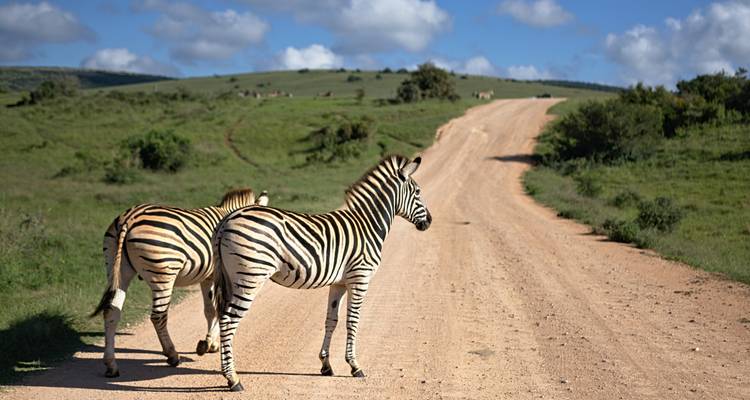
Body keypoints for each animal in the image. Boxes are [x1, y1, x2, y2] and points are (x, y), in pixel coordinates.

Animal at [90, 188, 269, 378]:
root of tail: (129, 217)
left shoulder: (208, 277)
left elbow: (210, 310)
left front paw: (209, 343)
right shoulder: (216, 275)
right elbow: (217, 310)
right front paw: (209, 343)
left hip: (117, 269)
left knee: (111, 312)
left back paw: (111, 365)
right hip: (162, 274)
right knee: (158, 316)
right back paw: (172, 355)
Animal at [212, 155, 432, 392]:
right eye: (417, 192)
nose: (429, 222)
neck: (368, 225)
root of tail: (227, 219)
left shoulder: (339, 283)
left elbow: (331, 320)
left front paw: (326, 365)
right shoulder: (360, 278)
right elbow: (353, 320)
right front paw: (354, 366)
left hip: (231, 278)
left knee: (222, 317)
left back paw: (228, 373)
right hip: (250, 277)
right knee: (228, 320)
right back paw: (233, 379)